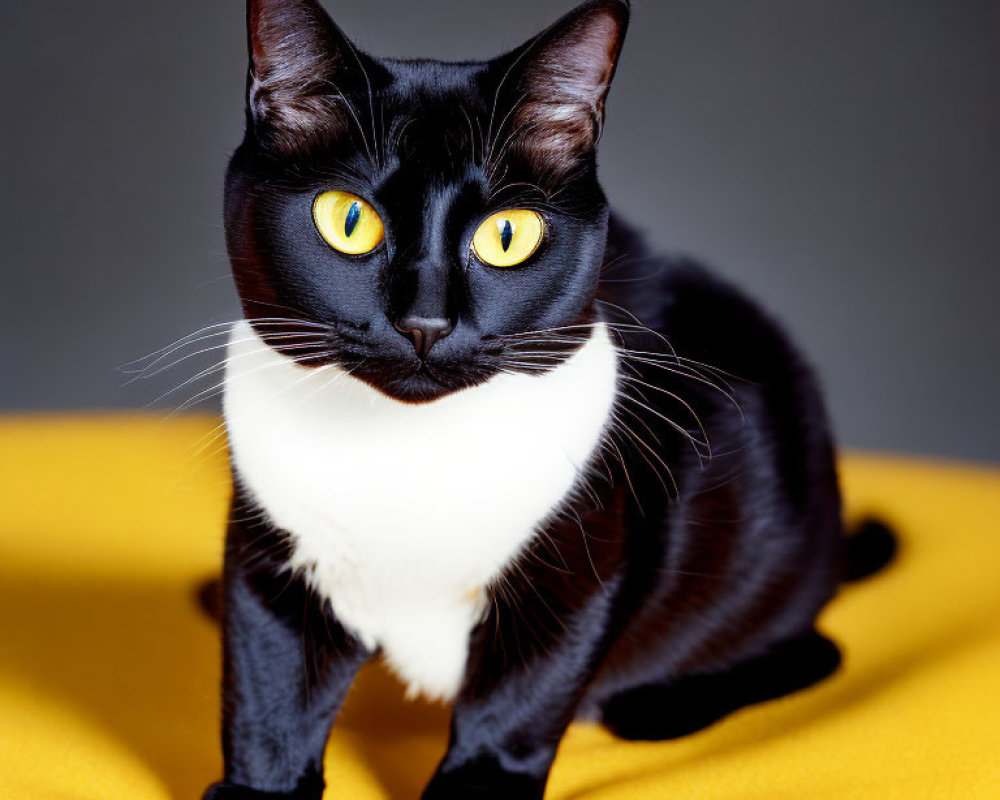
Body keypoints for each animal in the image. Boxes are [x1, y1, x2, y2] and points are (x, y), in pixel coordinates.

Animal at [203, 1, 900, 800]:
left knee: (816, 649)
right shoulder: (270, 563)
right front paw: (259, 790)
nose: (425, 322)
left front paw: (476, 787)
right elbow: (270, 693)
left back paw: (653, 705)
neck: (408, 453)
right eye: (347, 221)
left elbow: (515, 702)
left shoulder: (579, 570)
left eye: (508, 235)